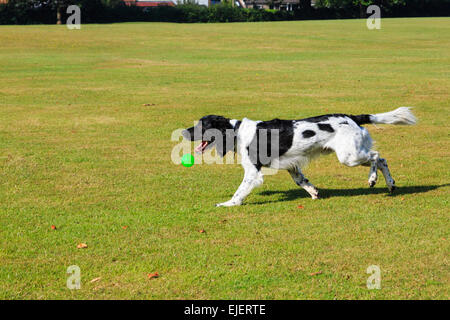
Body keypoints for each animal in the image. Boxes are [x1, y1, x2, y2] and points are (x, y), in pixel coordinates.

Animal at [182, 107, 414, 208]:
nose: (184, 132)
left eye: (202, 125)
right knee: (381, 159)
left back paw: (375, 179)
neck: (237, 131)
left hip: (350, 156)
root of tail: (352, 117)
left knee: (377, 156)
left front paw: (229, 203)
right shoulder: (292, 165)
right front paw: (314, 193)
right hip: (352, 154)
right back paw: (390, 184)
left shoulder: (253, 172)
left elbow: (239, 191)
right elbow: (302, 181)